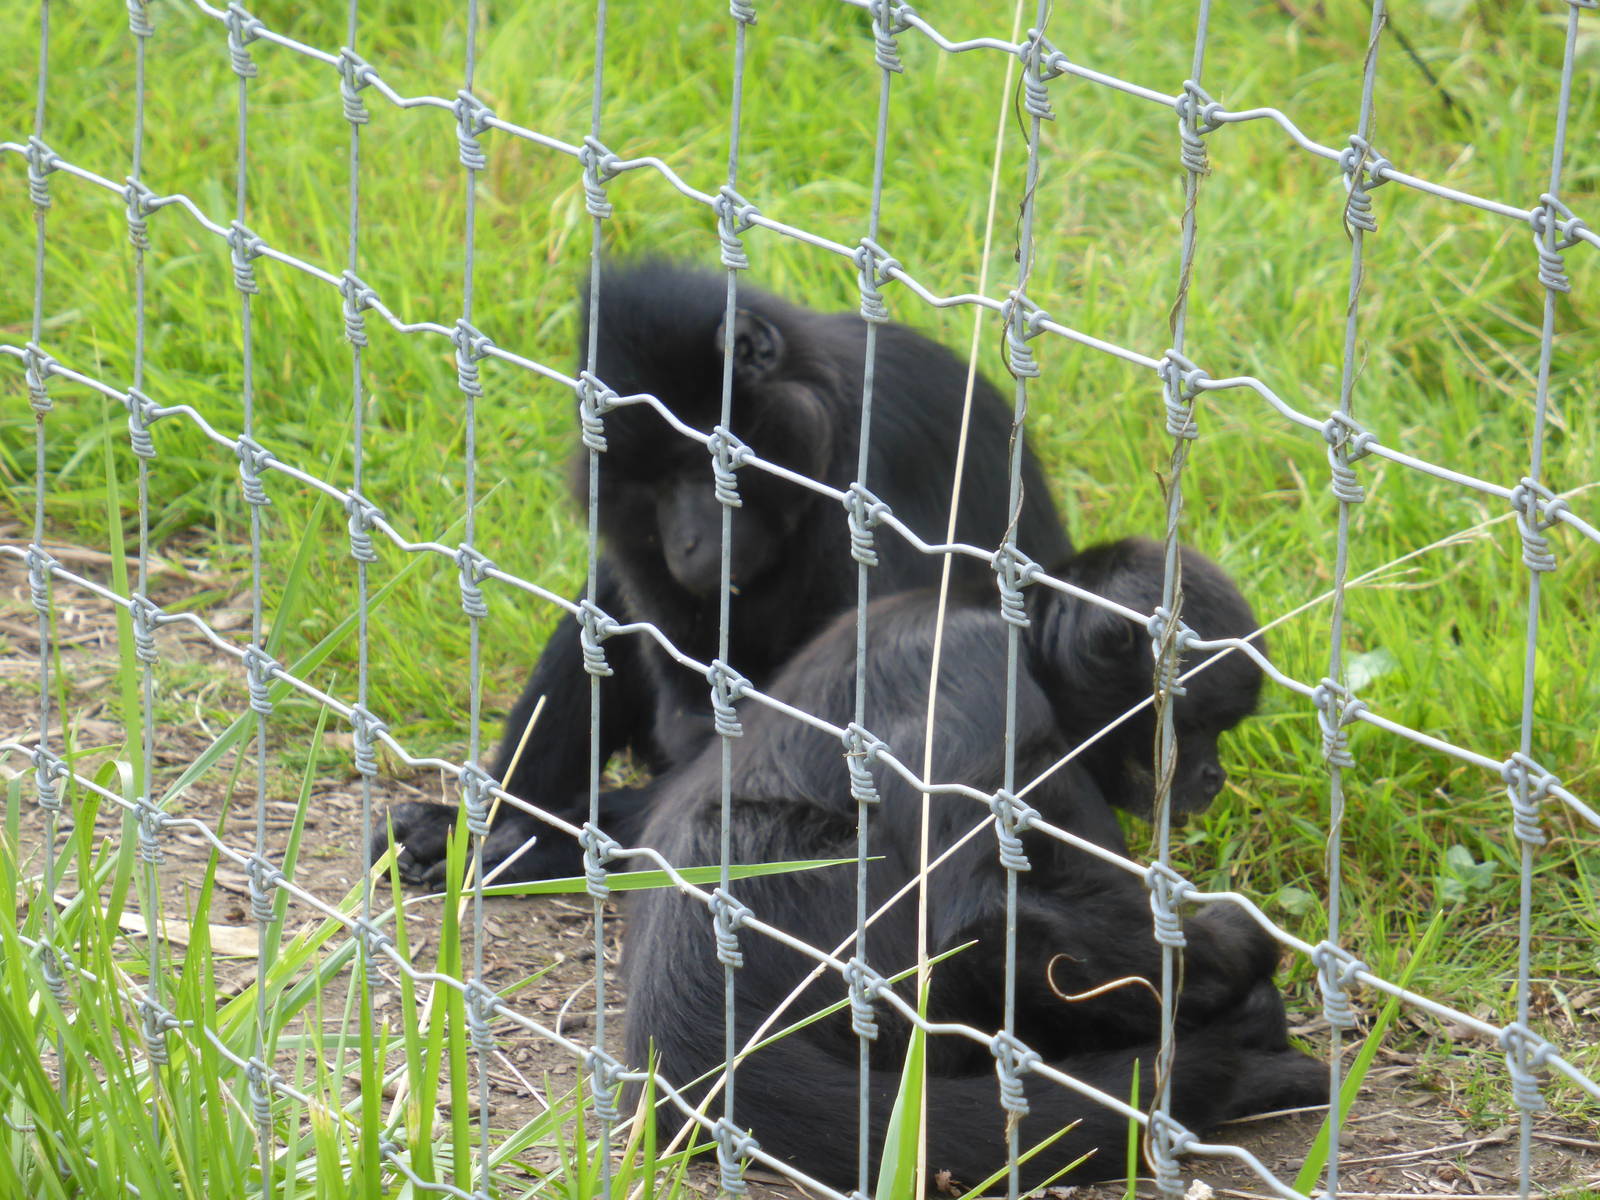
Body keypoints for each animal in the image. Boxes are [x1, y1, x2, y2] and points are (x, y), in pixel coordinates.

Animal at [622, 537, 1326, 1191]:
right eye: (1200, 726)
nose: (1213, 775)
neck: (1000, 615)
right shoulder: (976, 671)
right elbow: (984, 920)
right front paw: (1243, 950)